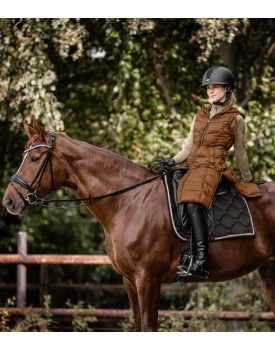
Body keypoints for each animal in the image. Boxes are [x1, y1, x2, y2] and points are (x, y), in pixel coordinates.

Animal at [2, 120, 275, 330]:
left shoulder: (148, 280)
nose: (9, 200)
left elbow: (148, 328)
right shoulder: (130, 282)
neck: (129, 201)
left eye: (34, 158)